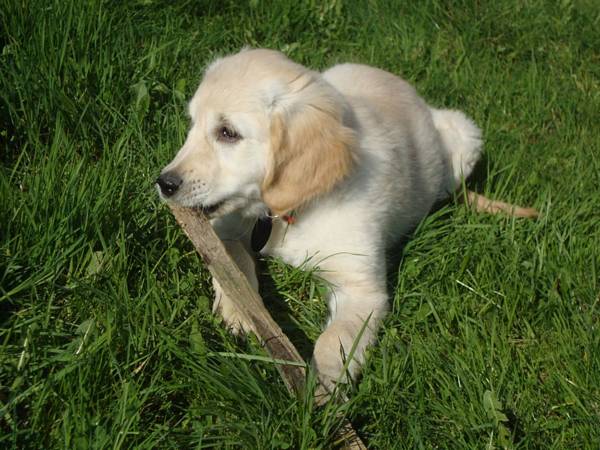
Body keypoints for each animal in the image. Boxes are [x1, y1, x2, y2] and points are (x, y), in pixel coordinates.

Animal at [157, 48, 537, 391]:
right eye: (193, 125)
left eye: (228, 133)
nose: (164, 183)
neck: (289, 212)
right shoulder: (225, 230)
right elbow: (233, 266)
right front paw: (238, 312)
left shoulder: (362, 289)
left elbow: (335, 340)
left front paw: (323, 390)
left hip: (464, 138)